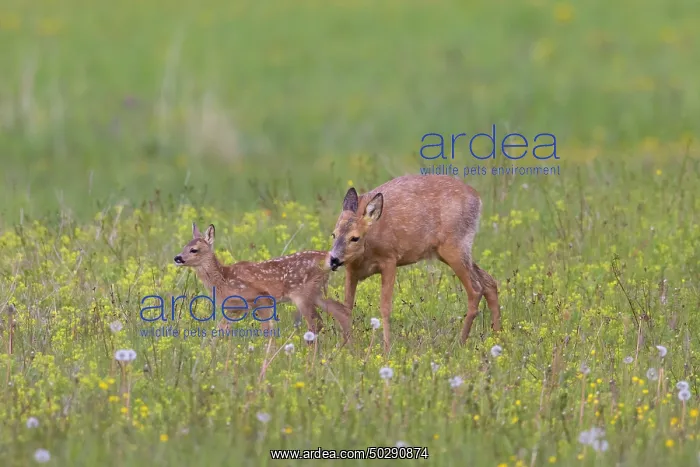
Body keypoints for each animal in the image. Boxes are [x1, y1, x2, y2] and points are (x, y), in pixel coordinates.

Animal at [173, 222, 352, 344]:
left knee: (316, 323)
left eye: (194, 250)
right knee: (341, 311)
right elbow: (219, 331)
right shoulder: (234, 309)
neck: (223, 280)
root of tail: (327, 257)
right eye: (184, 246)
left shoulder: (261, 298)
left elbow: (267, 331)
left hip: (302, 293)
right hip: (316, 292)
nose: (177, 258)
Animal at [327, 174, 501, 354]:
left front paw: (386, 349)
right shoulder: (351, 269)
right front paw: (345, 348)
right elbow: (347, 307)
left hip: (455, 247)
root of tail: (477, 198)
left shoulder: (390, 259)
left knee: (475, 289)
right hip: (449, 251)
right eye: (333, 234)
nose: (334, 260)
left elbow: (385, 307)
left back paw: (460, 343)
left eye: (355, 237)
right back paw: (497, 336)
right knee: (489, 282)